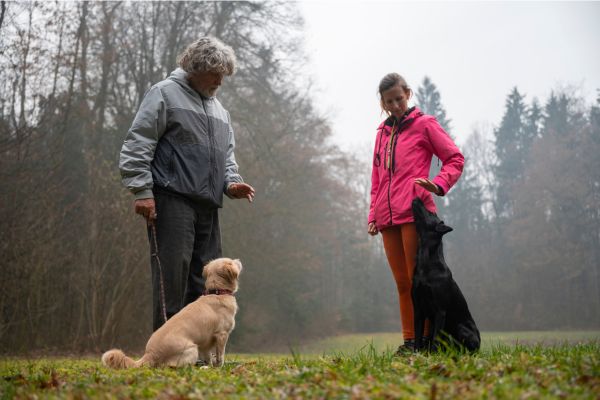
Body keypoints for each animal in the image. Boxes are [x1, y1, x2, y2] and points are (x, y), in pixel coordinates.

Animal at [102, 258, 241, 368]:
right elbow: (220, 356)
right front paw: (219, 368)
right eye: (231, 261)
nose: (239, 260)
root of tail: (150, 354)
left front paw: (211, 367)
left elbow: (209, 357)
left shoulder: (205, 344)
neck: (217, 292)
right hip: (192, 349)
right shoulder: (222, 335)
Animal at [410, 198, 480, 352]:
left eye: (431, 212)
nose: (417, 198)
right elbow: (417, 337)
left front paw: (433, 354)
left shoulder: (440, 311)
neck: (426, 263)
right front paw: (417, 354)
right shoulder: (418, 310)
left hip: (462, 329)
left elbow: (436, 339)